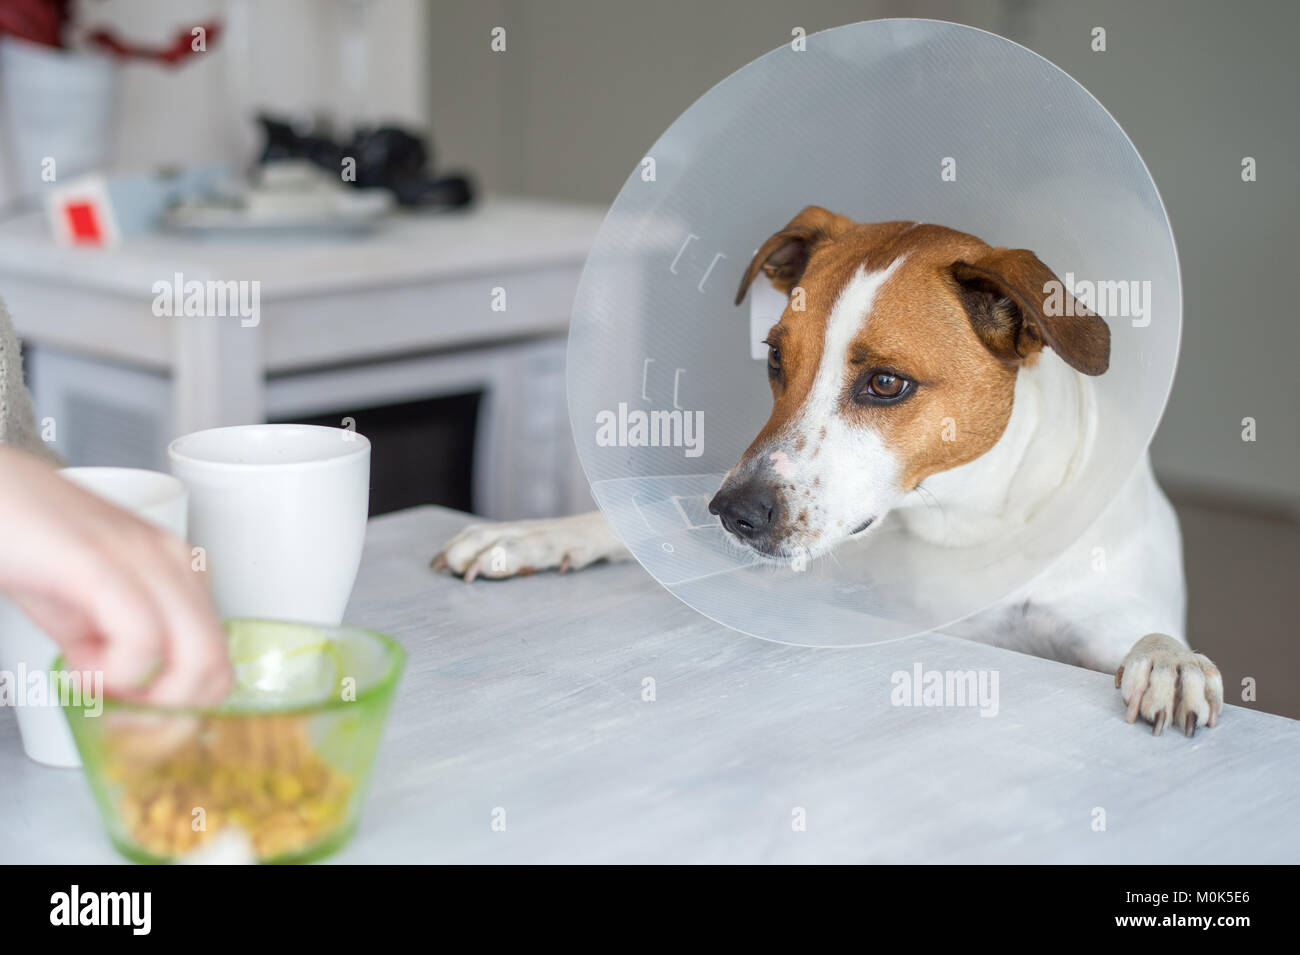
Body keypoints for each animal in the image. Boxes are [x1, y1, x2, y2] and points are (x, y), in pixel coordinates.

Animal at [431, 205, 1222, 738]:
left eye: (885, 384)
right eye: (776, 358)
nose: (734, 514)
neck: (958, 526)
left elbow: (1149, 637)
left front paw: (1170, 661)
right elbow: (634, 522)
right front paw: (530, 534)